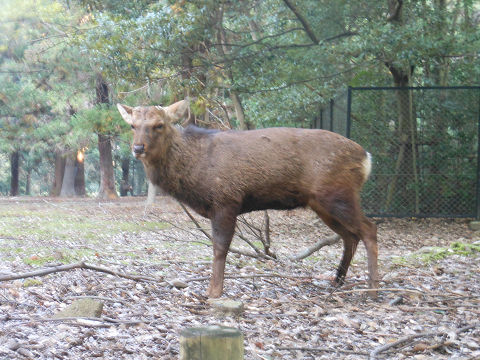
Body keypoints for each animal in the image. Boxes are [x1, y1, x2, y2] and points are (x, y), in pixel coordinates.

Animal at [117, 98, 378, 298]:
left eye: (159, 125)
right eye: (132, 125)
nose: (138, 148)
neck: (196, 171)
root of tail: (366, 158)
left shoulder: (226, 199)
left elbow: (220, 247)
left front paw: (214, 292)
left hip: (337, 194)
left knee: (368, 228)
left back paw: (372, 289)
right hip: (321, 202)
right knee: (349, 235)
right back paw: (337, 281)